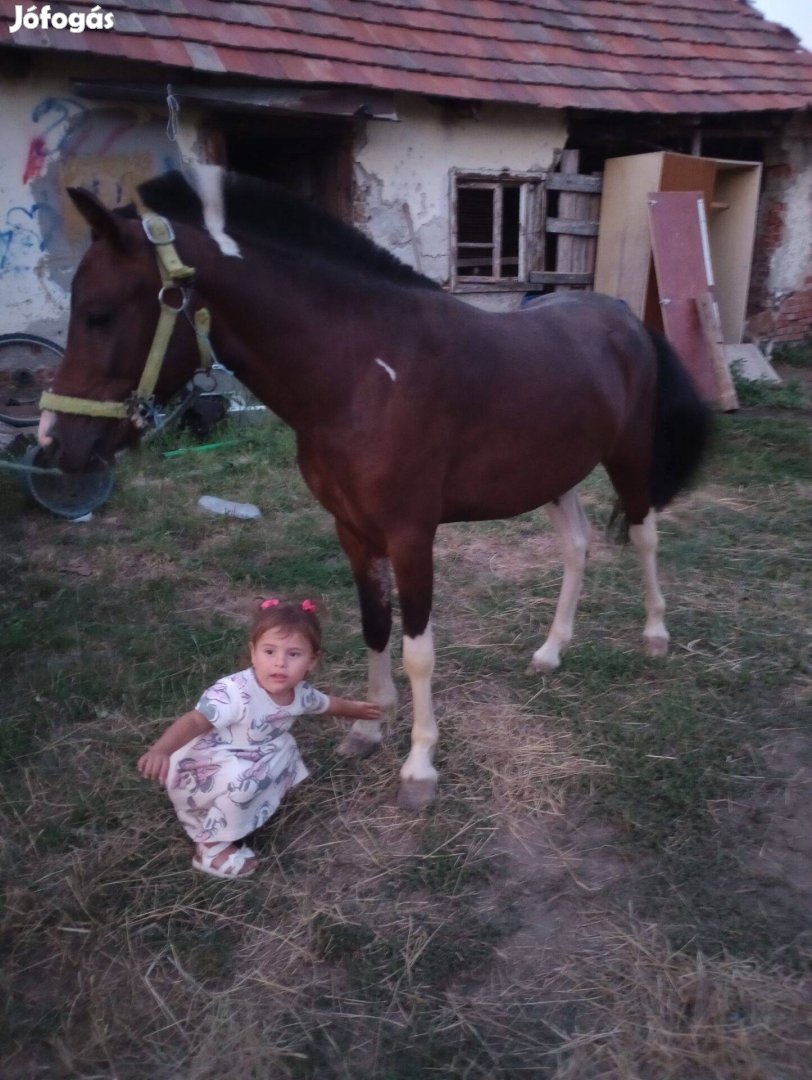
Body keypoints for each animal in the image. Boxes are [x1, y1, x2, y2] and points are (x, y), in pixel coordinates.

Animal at [39, 166, 708, 812]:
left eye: (99, 313)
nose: (55, 443)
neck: (364, 370)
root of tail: (625, 318)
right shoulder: (353, 530)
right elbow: (374, 626)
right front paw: (367, 728)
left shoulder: (411, 535)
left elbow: (418, 651)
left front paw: (419, 767)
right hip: (555, 473)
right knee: (576, 546)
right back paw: (550, 652)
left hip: (628, 457)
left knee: (644, 535)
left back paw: (655, 635)